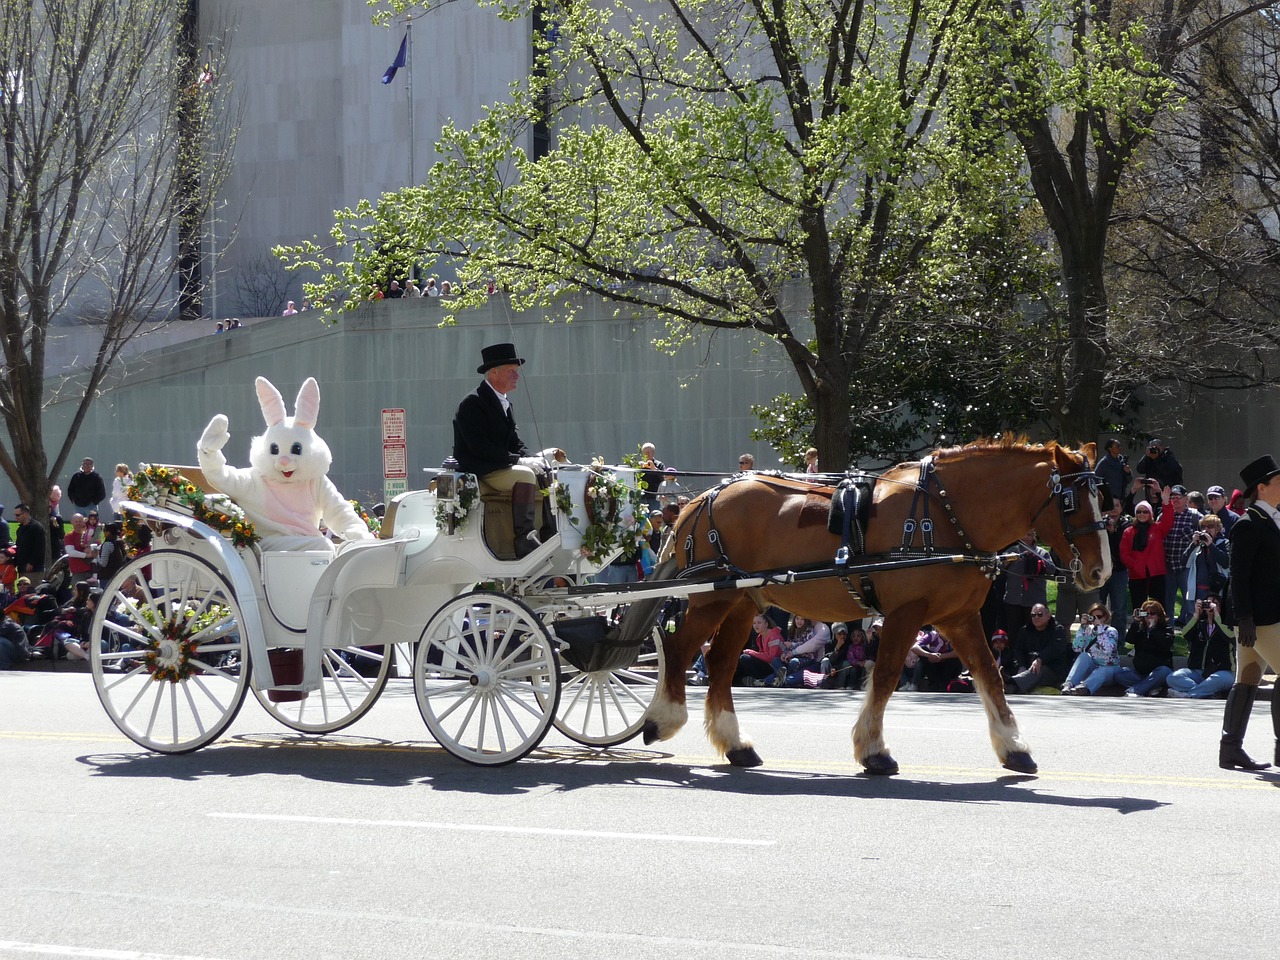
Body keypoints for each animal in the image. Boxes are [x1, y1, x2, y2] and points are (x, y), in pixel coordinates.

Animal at [640, 442, 1111, 773]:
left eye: (1102, 498)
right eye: (1070, 502)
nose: (1101, 570)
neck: (946, 514)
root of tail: (702, 498)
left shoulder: (959, 618)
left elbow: (990, 677)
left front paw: (1014, 748)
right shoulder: (906, 612)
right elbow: (884, 677)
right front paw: (874, 750)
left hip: (741, 601)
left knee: (719, 663)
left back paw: (736, 745)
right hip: (712, 597)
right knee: (679, 651)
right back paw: (662, 719)